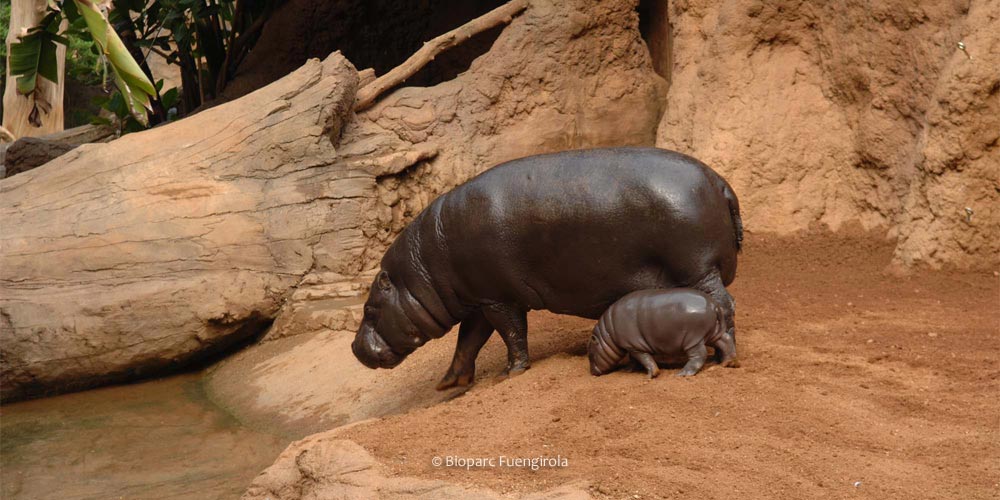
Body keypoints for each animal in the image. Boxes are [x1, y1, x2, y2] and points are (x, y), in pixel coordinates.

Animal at [584, 288, 744, 376]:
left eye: (590, 355)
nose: (592, 372)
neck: (607, 333)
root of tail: (714, 305)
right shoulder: (632, 346)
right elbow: (634, 360)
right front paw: (628, 370)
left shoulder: (634, 346)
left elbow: (644, 359)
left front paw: (652, 375)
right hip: (713, 333)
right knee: (726, 341)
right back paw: (728, 363)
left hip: (693, 338)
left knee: (699, 355)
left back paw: (683, 374)